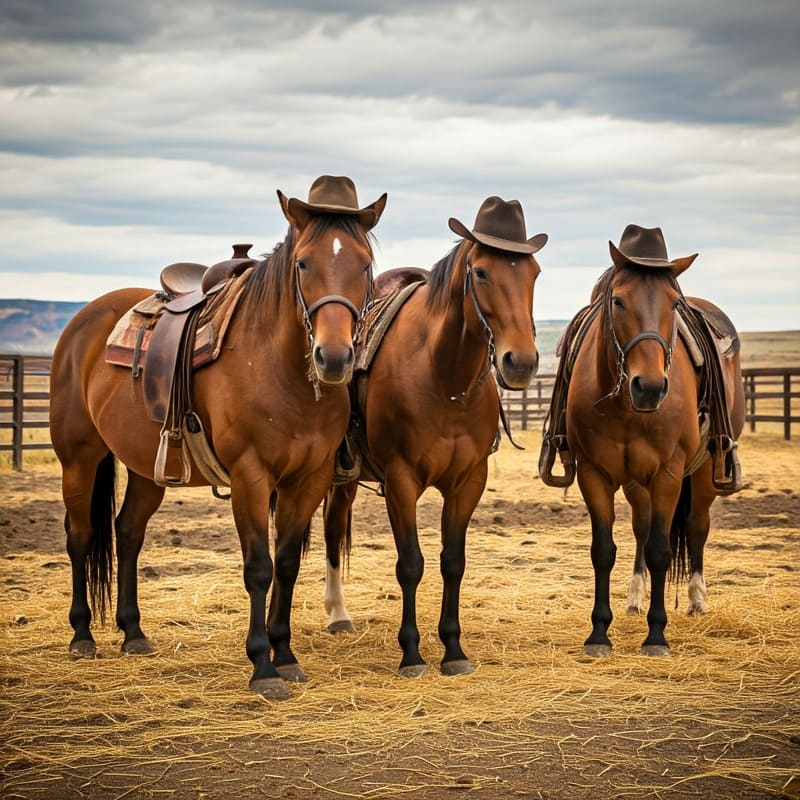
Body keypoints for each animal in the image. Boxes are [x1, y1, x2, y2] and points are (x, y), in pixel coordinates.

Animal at [49, 178, 388, 696]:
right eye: (303, 263)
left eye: (364, 264)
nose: (333, 358)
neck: (281, 368)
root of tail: (82, 322)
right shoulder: (250, 477)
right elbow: (259, 568)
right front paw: (263, 668)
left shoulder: (308, 480)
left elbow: (286, 564)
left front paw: (286, 655)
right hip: (79, 459)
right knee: (81, 535)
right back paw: (82, 635)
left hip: (148, 468)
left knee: (127, 533)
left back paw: (134, 633)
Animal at [322, 195, 548, 676]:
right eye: (480, 271)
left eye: (534, 273)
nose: (520, 362)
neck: (444, 379)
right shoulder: (401, 483)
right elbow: (411, 564)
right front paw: (411, 653)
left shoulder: (468, 482)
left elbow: (452, 563)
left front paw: (454, 649)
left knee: (333, 526)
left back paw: (339, 614)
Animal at [556, 223, 744, 656]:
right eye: (618, 301)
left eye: (674, 305)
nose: (651, 387)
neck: (627, 406)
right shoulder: (595, 473)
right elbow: (604, 550)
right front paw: (599, 633)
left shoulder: (669, 474)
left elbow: (662, 549)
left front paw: (656, 635)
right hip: (635, 482)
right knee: (642, 528)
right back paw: (635, 597)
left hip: (704, 474)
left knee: (696, 527)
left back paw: (697, 599)